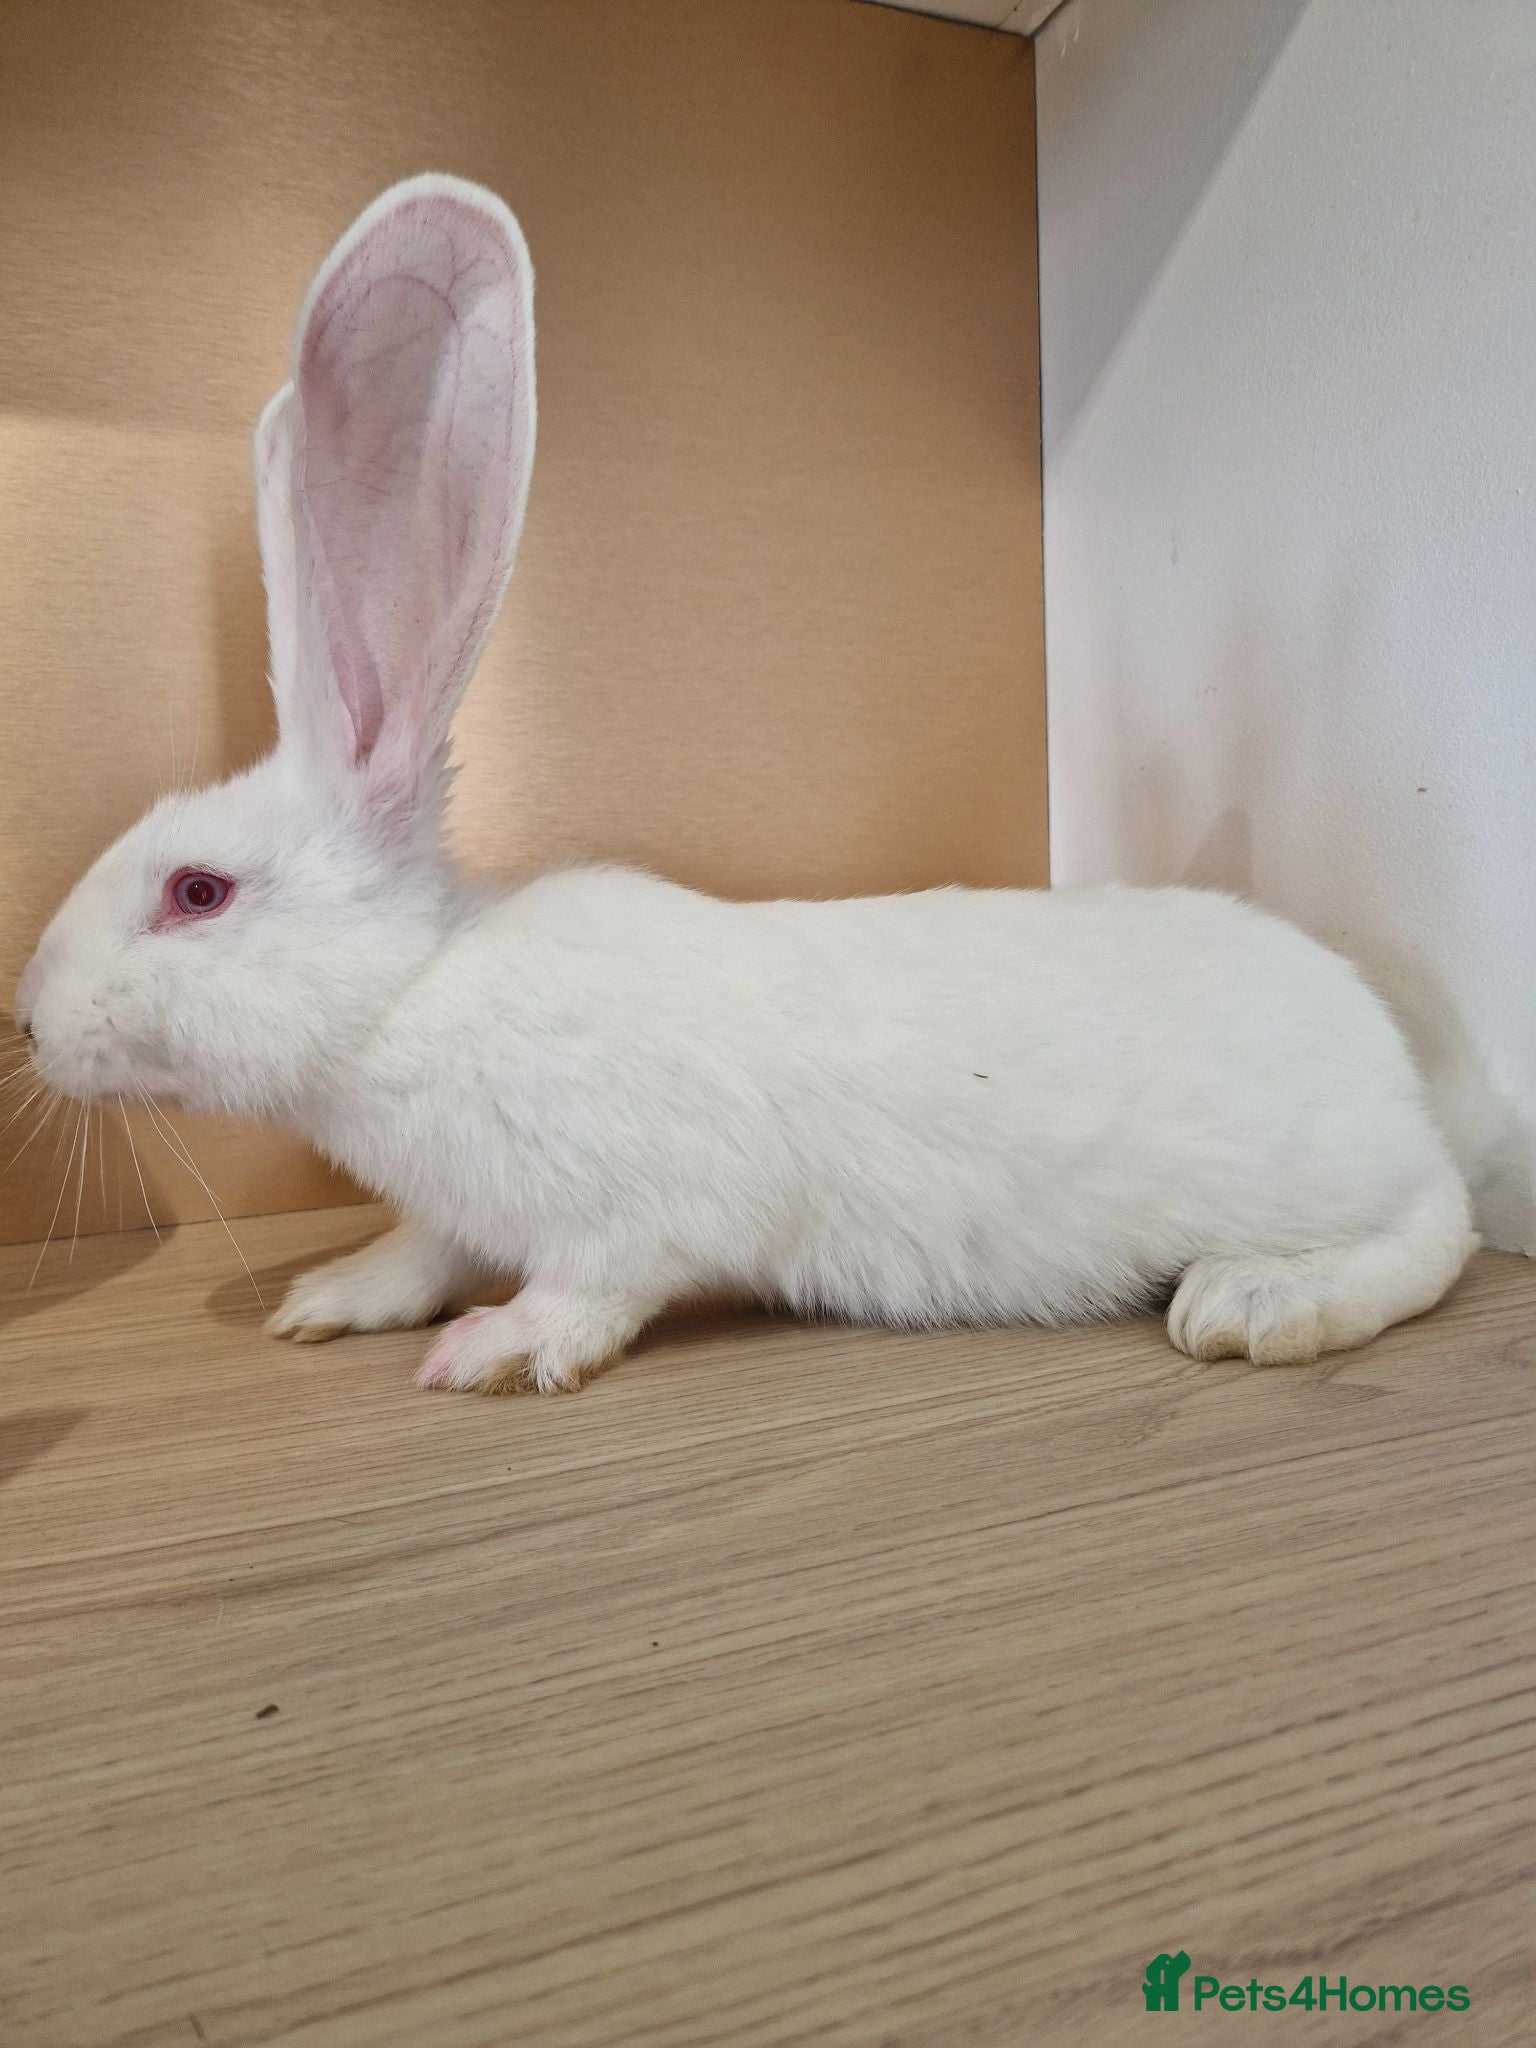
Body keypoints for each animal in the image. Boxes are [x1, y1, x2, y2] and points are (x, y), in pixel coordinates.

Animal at [13, 174, 1475, 1395]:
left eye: (197, 892)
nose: (26, 1020)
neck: (410, 994)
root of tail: (1397, 1063)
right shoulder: (455, 1210)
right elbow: (422, 1249)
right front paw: (331, 1297)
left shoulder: (632, 1213)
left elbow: (593, 1290)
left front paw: (491, 1351)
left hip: (1334, 1180)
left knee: (1437, 1228)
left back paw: (1254, 1304)